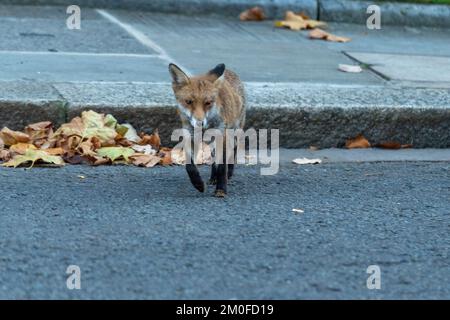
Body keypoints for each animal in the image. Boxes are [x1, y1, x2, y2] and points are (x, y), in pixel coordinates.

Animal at [169, 62, 246, 198]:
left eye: (208, 102)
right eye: (188, 102)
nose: (200, 123)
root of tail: (229, 71)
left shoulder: (222, 137)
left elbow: (222, 167)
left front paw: (221, 189)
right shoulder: (191, 137)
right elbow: (189, 166)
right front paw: (198, 184)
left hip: (234, 131)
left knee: (233, 151)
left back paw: (229, 174)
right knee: (214, 158)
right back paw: (213, 178)